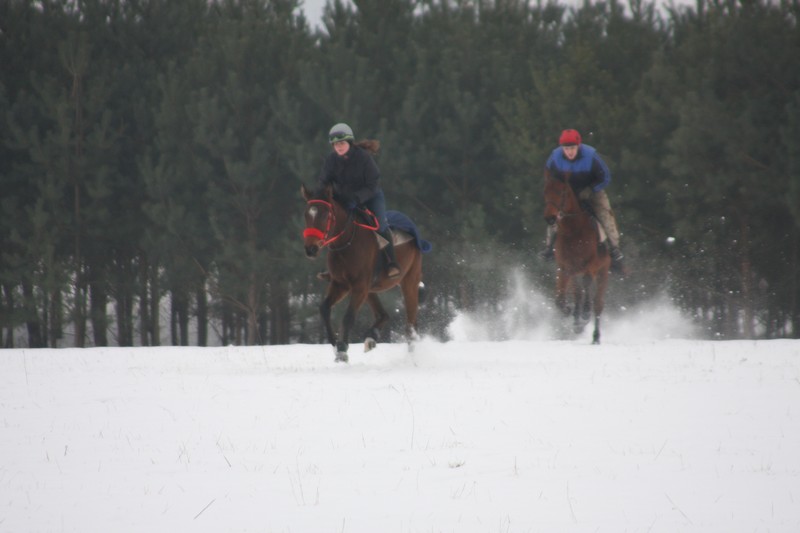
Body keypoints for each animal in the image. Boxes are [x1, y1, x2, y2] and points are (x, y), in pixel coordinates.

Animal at [301, 184, 426, 362]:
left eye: (325, 215)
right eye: (306, 214)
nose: (310, 249)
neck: (347, 243)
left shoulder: (359, 286)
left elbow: (348, 316)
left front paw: (342, 350)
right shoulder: (341, 284)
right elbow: (324, 308)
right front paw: (335, 345)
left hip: (409, 280)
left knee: (411, 325)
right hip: (370, 289)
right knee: (383, 314)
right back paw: (371, 338)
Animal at [542, 172, 611, 344]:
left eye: (562, 192)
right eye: (545, 192)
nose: (550, 218)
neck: (573, 231)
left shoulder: (591, 265)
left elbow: (586, 284)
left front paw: (585, 312)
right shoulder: (565, 268)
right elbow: (561, 298)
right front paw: (568, 310)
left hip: (603, 270)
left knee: (597, 303)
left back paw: (595, 335)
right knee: (578, 293)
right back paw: (577, 322)